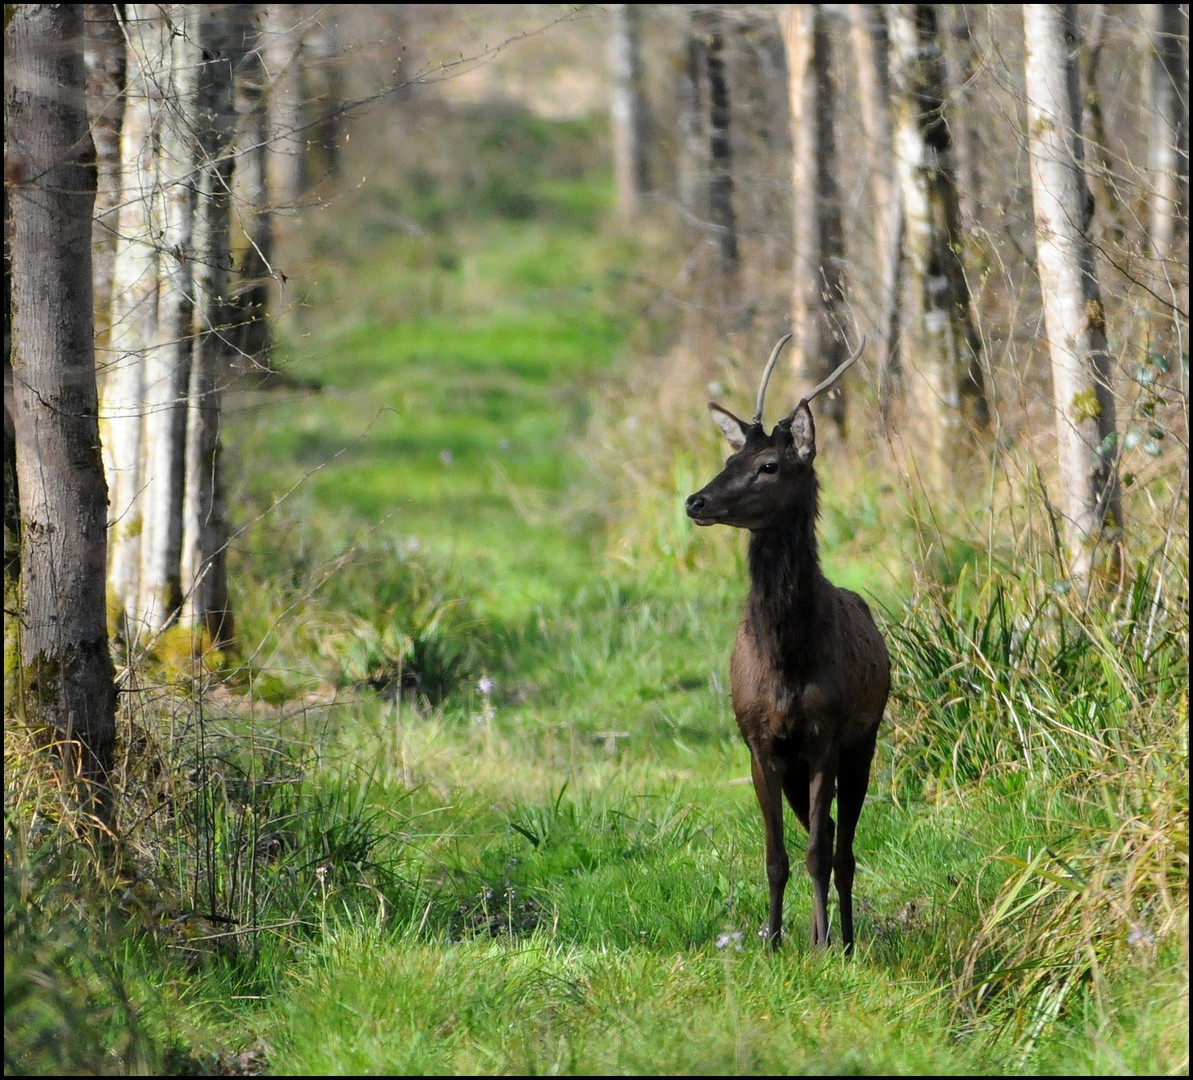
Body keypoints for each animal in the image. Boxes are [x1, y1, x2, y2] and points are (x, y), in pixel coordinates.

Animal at [687, 331, 892, 949]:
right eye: (729, 459)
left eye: (770, 465)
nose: (696, 501)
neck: (786, 662)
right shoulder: (757, 740)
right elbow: (776, 855)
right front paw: (774, 939)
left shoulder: (826, 735)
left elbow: (818, 852)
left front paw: (822, 945)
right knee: (826, 833)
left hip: (864, 741)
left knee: (842, 847)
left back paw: (843, 938)